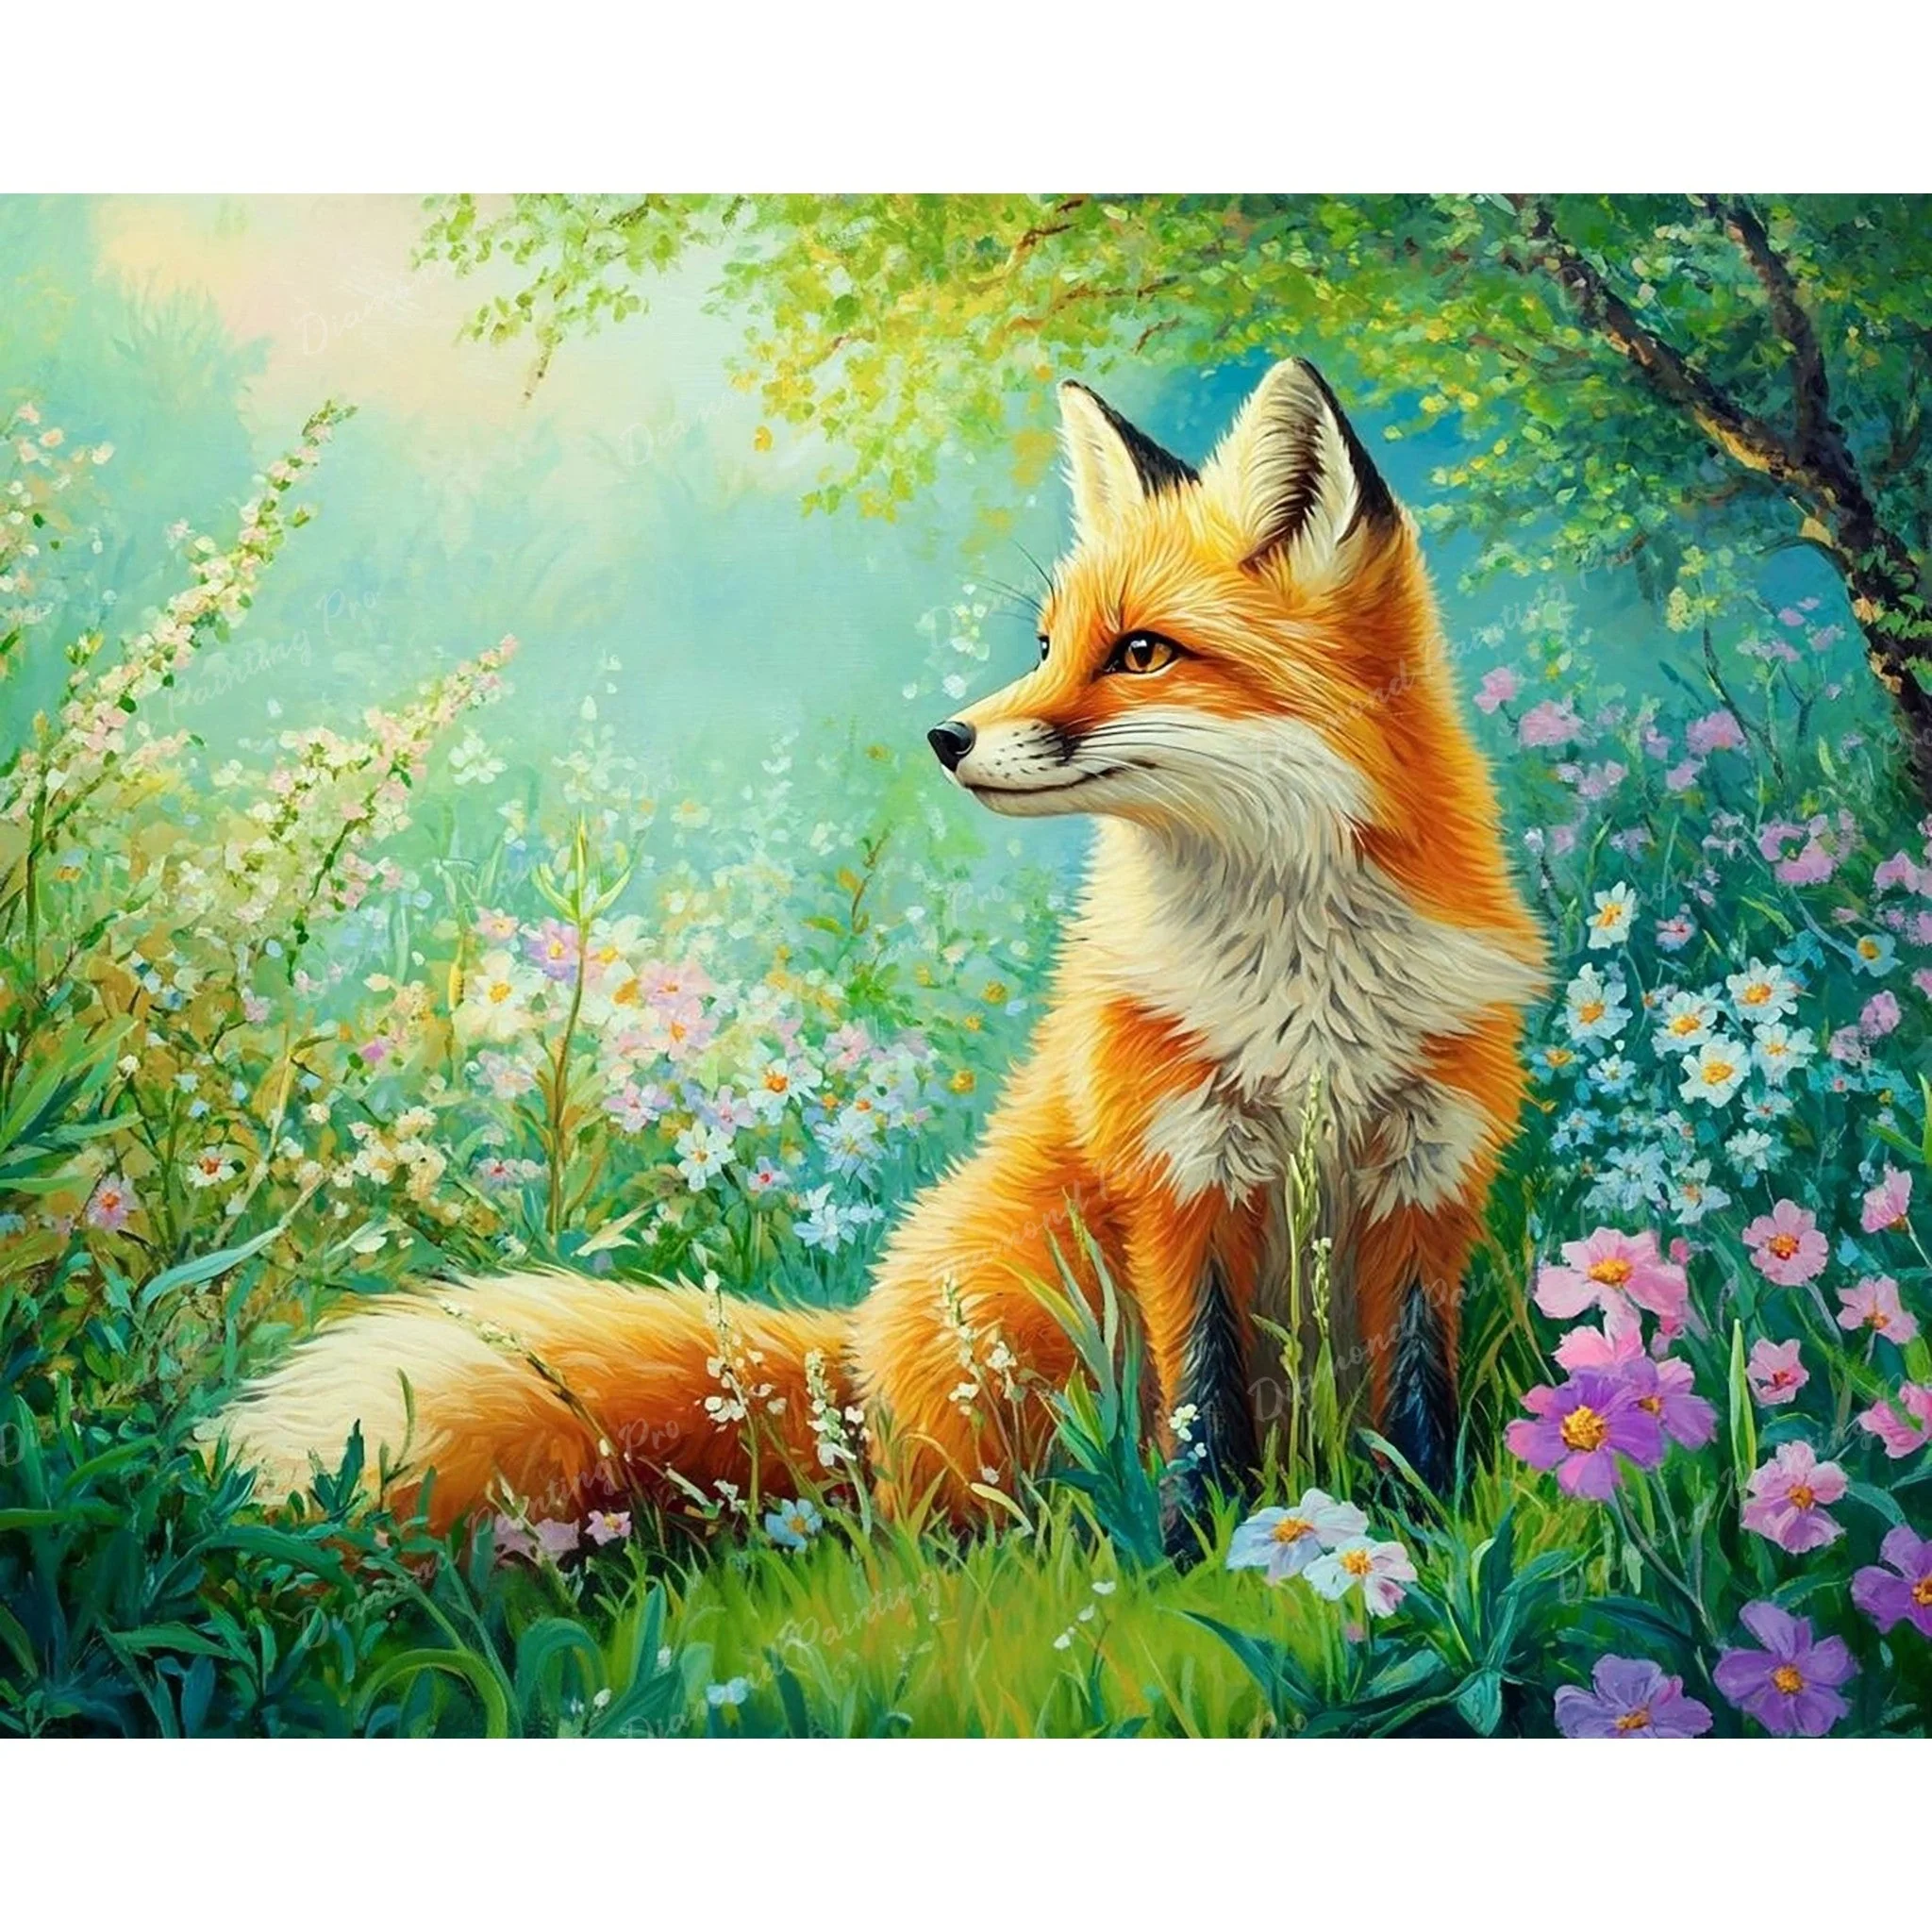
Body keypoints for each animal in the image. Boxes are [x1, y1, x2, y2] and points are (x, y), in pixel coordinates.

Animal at [217, 357, 1544, 1548]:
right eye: (1049, 642)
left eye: (1142, 652)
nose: (947, 736)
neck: (1303, 998)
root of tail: (855, 1367)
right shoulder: (1176, 1175)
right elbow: (1201, 1411)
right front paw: (1196, 1559)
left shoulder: (1428, 1171)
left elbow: (1416, 1401)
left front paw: (1425, 1535)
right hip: (1014, 1317)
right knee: (944, 1521)